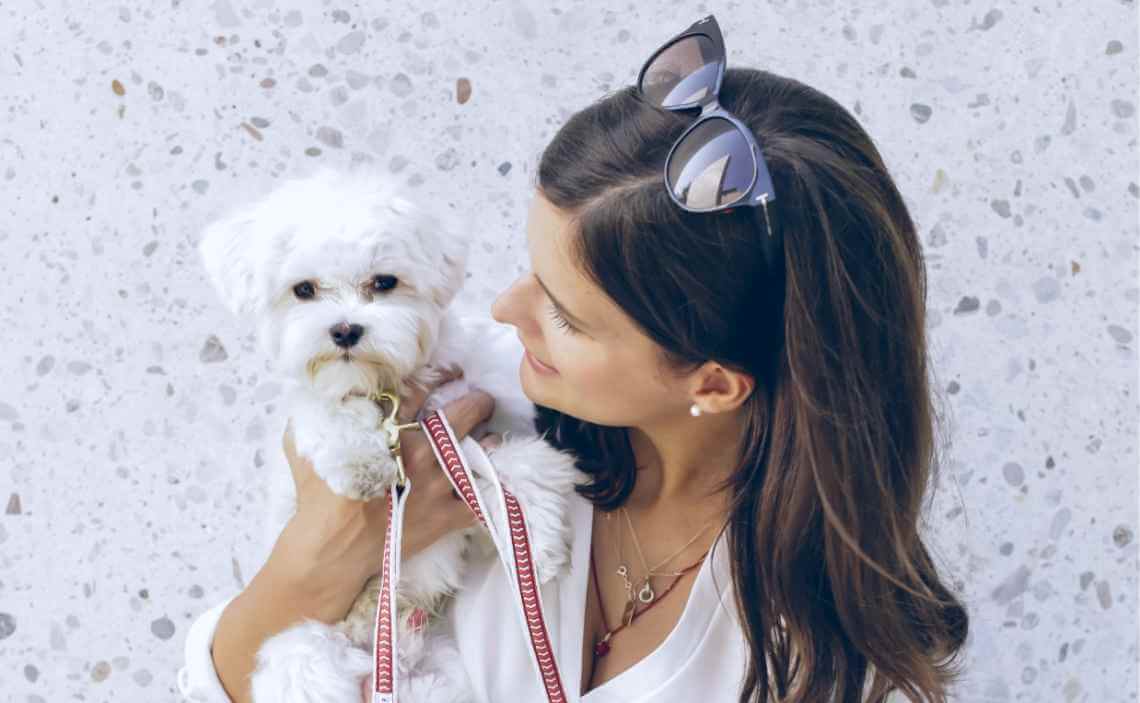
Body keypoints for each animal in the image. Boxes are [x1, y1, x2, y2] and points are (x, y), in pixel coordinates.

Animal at [196, 168, 583, 701]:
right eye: (303, 290)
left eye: (384, 283)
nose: (344, 330)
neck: (386, 391)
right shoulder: (317, 413)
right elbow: (332, 417)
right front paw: (362, 464)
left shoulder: (474, 421)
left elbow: (523, 467)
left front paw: (534, 545)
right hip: (304, 657)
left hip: (441, 670)